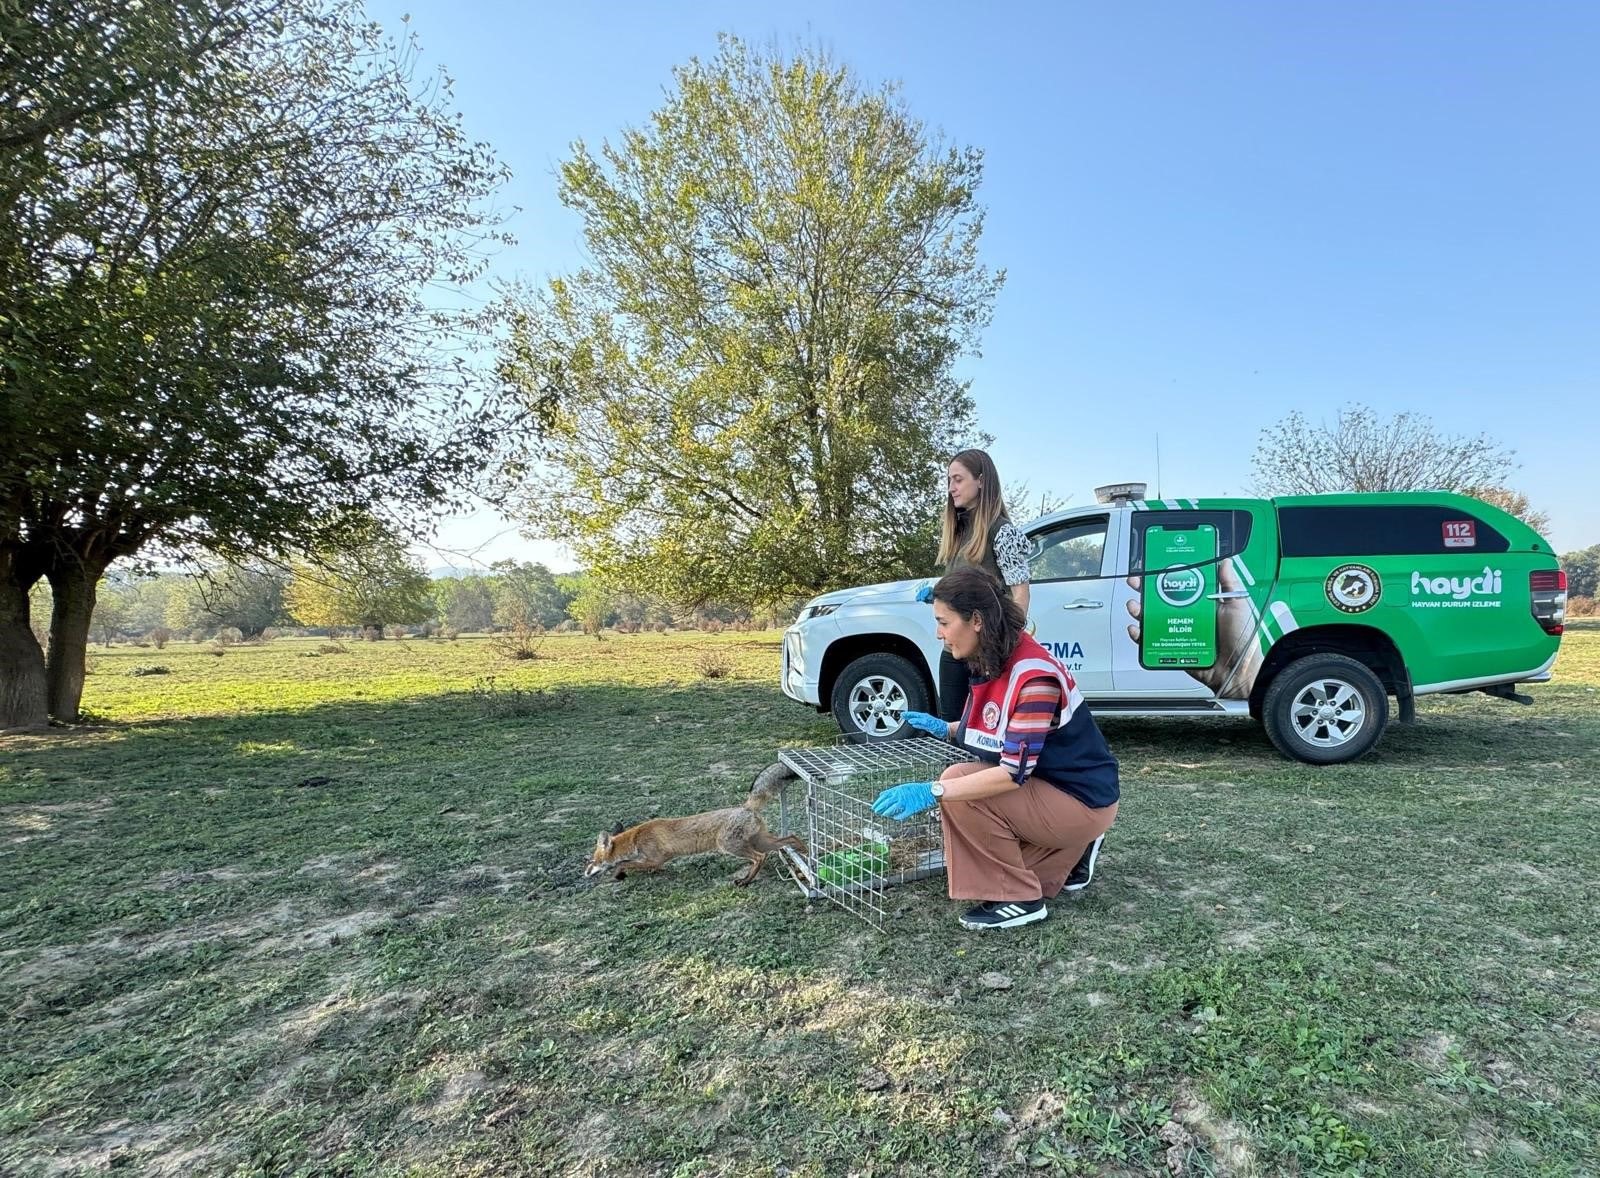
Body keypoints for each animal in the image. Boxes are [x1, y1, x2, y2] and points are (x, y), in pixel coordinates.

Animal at [582, 765, 806, 883]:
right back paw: (806, 855)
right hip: (761, 841)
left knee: (759, 858)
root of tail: (746, 806)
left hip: (731, 846)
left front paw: (618, 873)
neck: (635, 839)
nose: (584, 873)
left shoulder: (655, 859)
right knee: (791, 838)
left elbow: (625, 863)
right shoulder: (653, 861)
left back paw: (746, 881)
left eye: (592, 861)